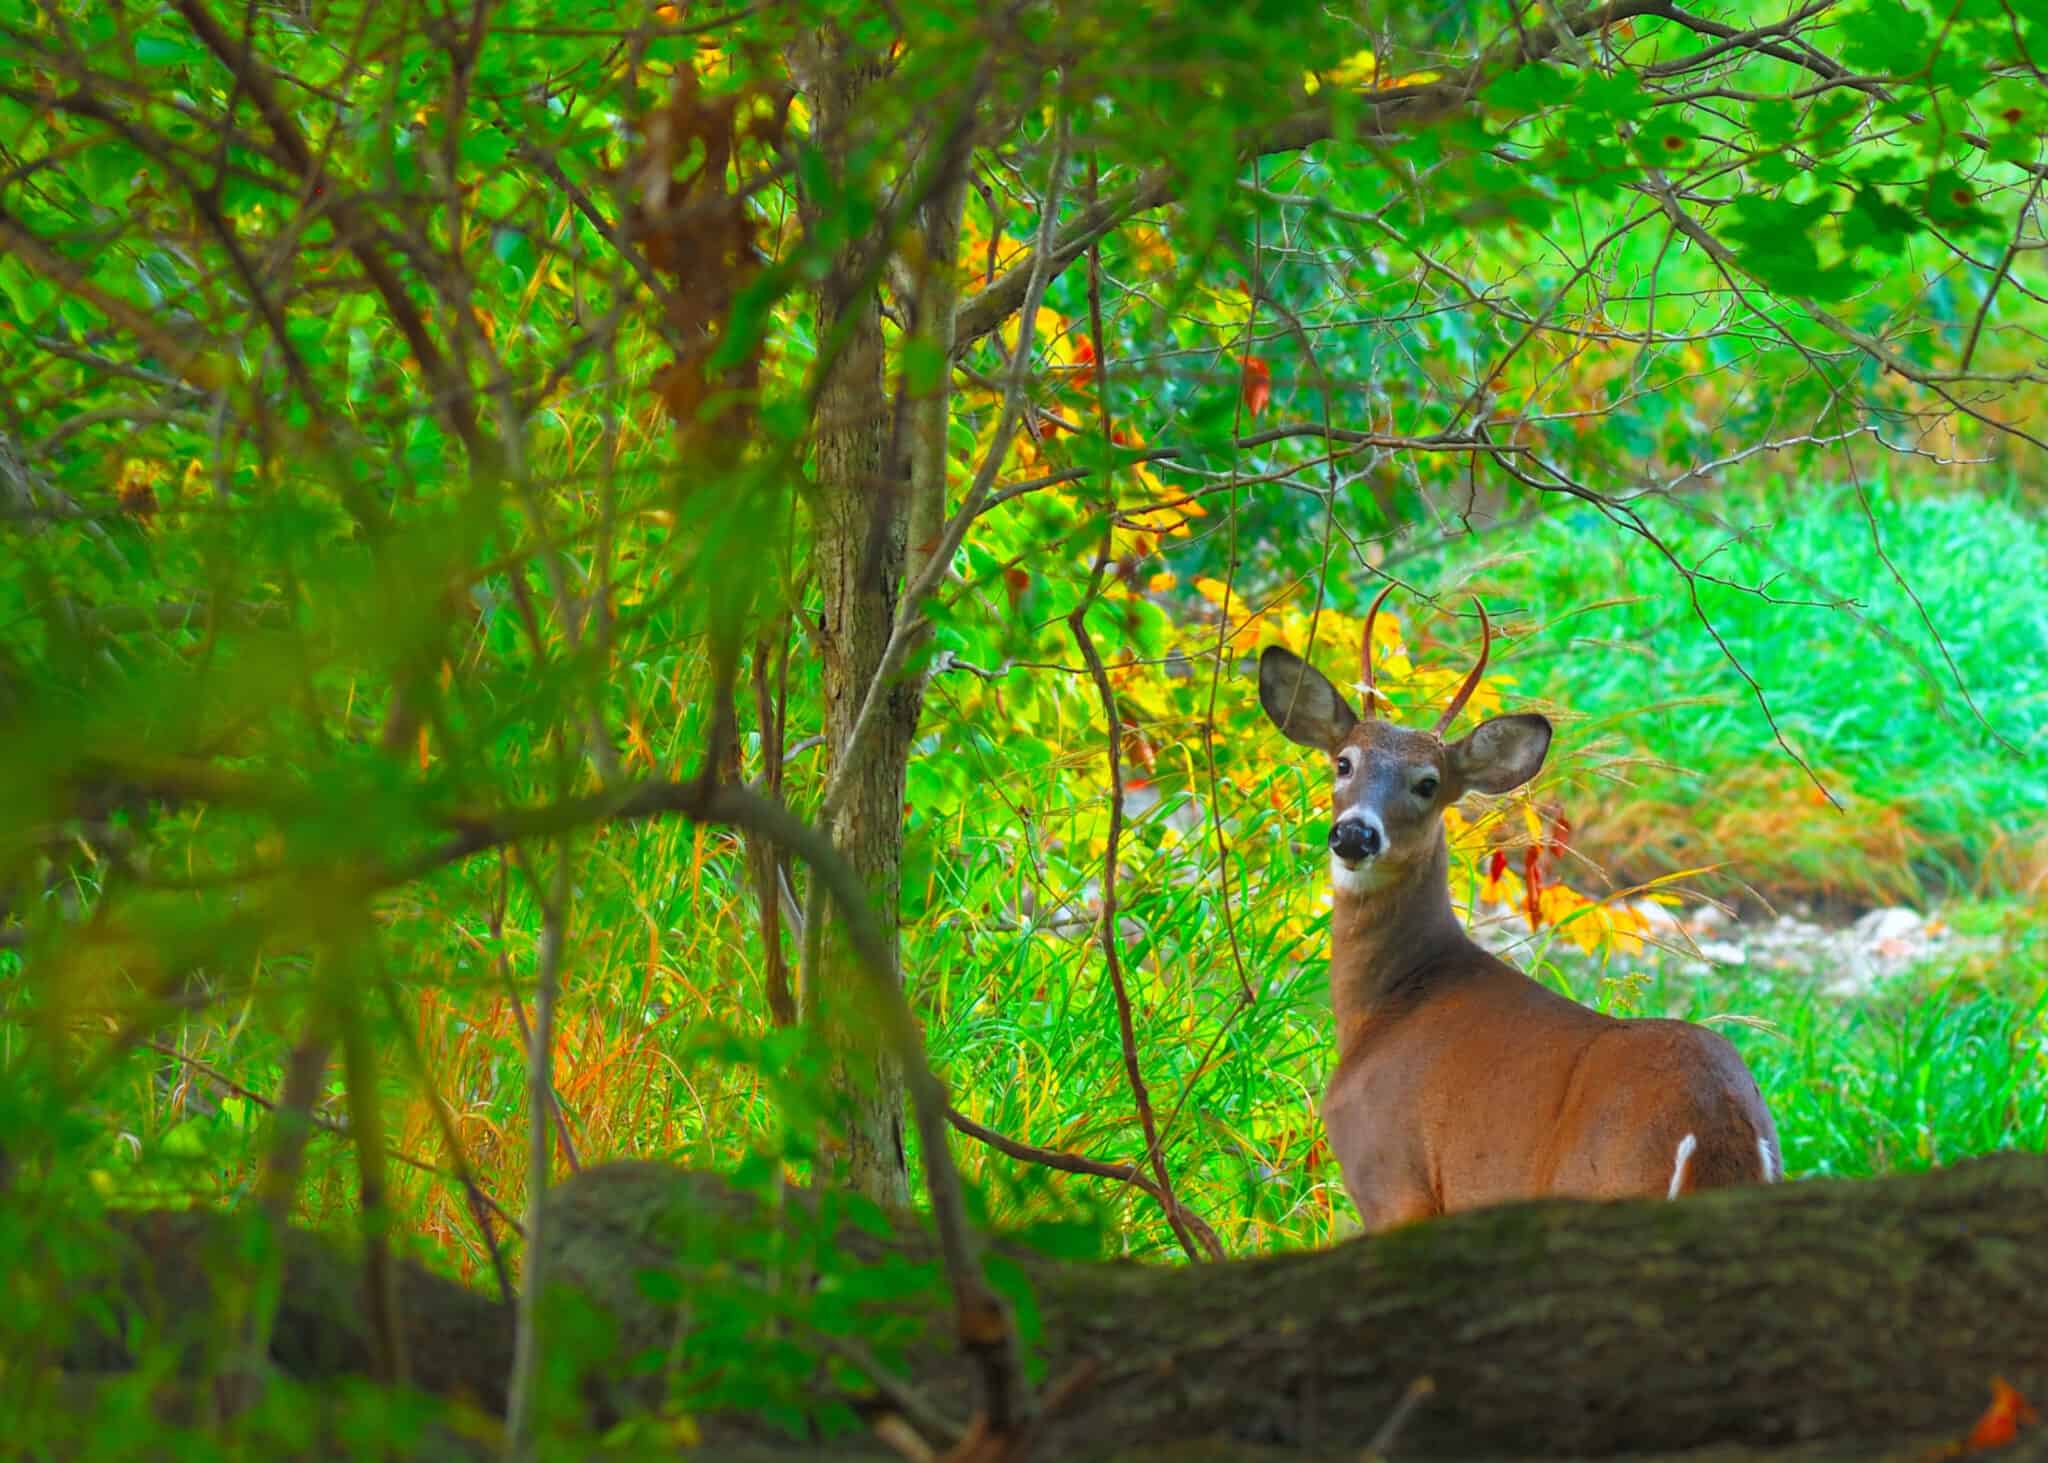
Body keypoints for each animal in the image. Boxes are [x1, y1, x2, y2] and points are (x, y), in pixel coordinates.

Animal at [1257, 587, 1781, 1232]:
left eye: (1427, 783)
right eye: (1343, 763)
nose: (1355, 834)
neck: (1389, 1004)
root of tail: (1715, 1128)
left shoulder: (1390, 1175)